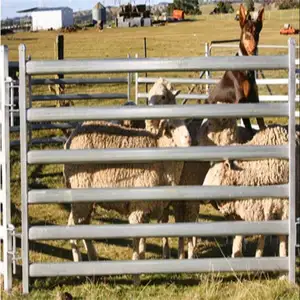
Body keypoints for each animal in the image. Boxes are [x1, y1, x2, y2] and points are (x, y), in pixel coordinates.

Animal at [202, 125, 298, 256]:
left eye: (216, 172)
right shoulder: (261, 205)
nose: (201, 199)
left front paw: (282, 254)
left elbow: (281, 235)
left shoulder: (283, 206)